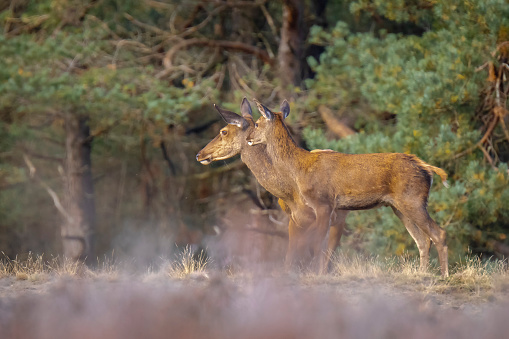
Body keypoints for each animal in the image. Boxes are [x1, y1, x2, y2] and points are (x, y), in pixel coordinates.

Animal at [246, 97, 448, 276]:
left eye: (257, 123)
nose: (248, 138)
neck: (299, 168)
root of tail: (427, 168)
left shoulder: (323, 202)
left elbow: (318, 243)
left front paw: (317, 274)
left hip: (413, 199)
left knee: (439, 233)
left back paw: (444, 275)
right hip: (398, 206)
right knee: (423, 240)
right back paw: (422, 273)